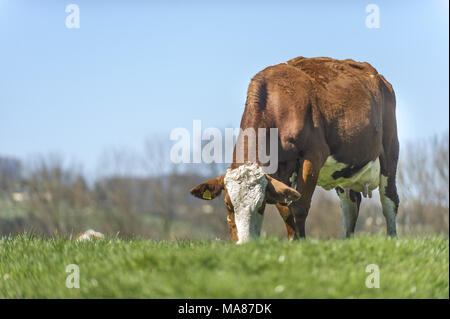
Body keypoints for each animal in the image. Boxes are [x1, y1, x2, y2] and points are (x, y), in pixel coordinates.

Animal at [188, 56, 400, 244]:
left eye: (261, 204)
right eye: (227, 205)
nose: (244, 244)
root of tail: (377, 76)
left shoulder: (313, 156)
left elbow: (299, 206)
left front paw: (300, 243)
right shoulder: (278, 171)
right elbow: (285, 207)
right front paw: (292, 240)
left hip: (389, 151)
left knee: (390, 200)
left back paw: (392, 239)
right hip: (345, 171)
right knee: (351, 205)